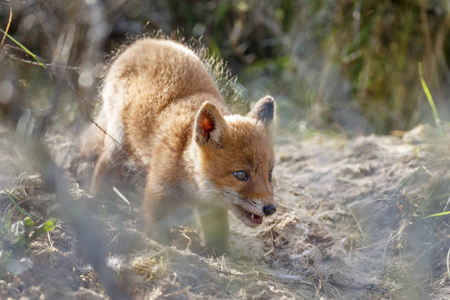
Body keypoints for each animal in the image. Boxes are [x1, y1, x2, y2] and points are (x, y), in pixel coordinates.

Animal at [82, 37, 276, 253]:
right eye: (241, 175)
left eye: (269, 174)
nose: (270, 208)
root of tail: (145, 41)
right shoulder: (158, 194)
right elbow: (155, 232)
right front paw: (162, 247)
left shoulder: (212, 207)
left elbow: (218, 239)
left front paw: (221, 255)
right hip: (118, 140)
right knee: (103, 167)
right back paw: (100, 201)